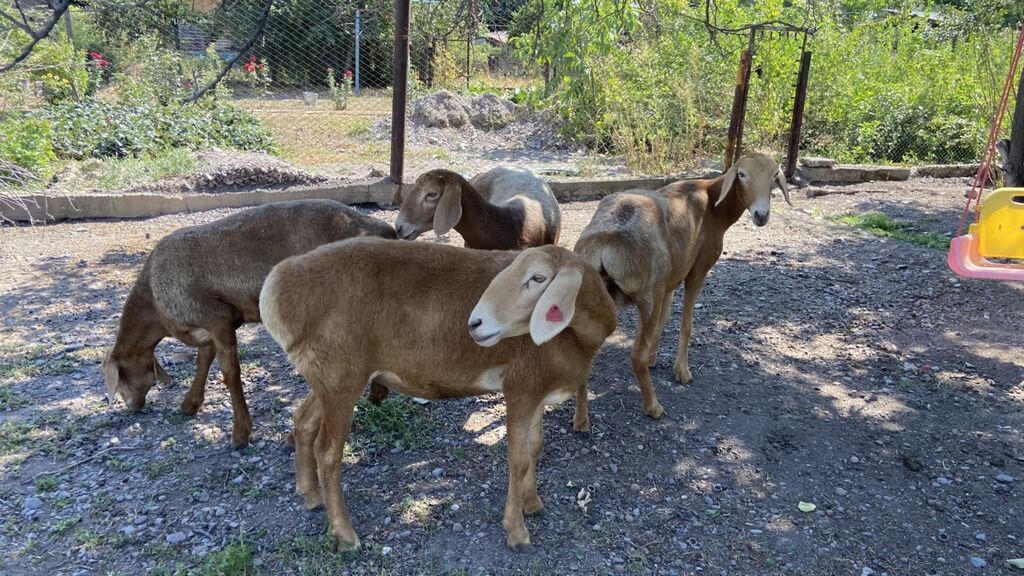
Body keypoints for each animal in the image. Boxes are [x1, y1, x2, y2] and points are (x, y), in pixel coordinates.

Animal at [102, 200, 396, 448]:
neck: (153, 302)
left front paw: (240, 433)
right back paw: (377, 394)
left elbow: (230, 375)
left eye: (121, 378)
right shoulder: (207, 329)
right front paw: (190, 404)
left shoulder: (218, 318)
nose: (132, 406)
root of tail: (383, 229)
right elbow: (202, 362)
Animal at [259, 238, 616, 551]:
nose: (475, 323)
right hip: (340, 377)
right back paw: (345, 536)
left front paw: (533, 503)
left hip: (327, 377)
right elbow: (517, 459)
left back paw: (311, 497)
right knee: (328, 453)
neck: (580, 336)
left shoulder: (538, 390)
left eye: (538, 278)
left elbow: (534, 448)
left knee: (303, 420)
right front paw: (517, 532)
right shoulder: (520, 388)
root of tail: (274, 288)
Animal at [574, 153, 792, 419]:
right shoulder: (697, 270)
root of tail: (602, 243)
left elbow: (665, 318)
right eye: (742, 175)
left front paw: (655, 357)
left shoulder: (670, 279)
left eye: (774, 176)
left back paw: (581, 420)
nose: (762, 215)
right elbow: (686, 324)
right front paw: (682, 371)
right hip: (648, 293)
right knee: (636, 355)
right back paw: (653, 406)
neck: (715, 207)